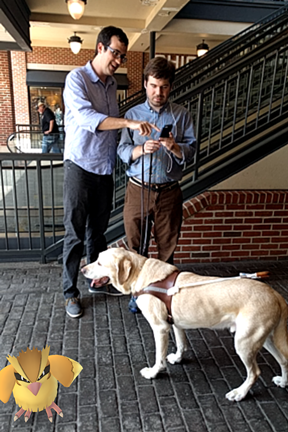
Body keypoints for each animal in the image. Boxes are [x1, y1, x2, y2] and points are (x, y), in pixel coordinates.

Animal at [80, 248, 288, 404]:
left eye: (99, 263)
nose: (82, 270)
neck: (141, 273)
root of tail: (275, 294)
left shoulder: (160, 328)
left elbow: (159, 357)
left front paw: (154, 372)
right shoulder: (175, 324)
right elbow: (181, 344)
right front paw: (178, 358)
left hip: (244, 342)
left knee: (255, 372)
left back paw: (240, 393)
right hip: (264, 339)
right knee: (284, 360)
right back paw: (283, 381)